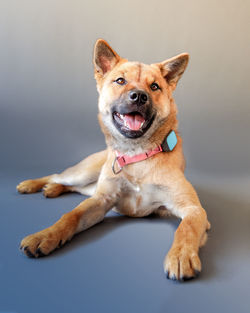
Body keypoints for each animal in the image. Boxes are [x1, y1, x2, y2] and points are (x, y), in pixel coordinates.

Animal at [16, 38, 210, 280]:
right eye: (120, 80)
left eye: (154, 86)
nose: (139, 96)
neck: (137, 156)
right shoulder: (100, 200)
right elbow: (70, 216)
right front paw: (45, 235)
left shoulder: (193, 209)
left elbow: (187, 227)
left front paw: (181, 254)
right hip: (83, 173)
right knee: (57, 175)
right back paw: (33, 184)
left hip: (87, 184)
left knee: (69, 185)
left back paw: (51, 189)